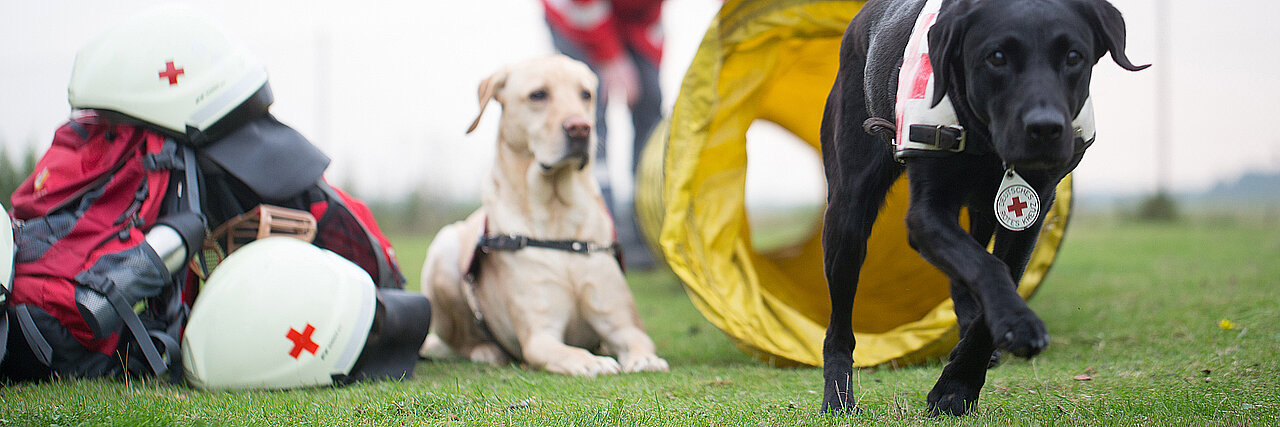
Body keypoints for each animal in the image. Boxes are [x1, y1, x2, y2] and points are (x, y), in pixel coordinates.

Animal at [819, 0, 1152, 416]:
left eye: (1074, 56)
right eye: (996, 57)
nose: (1045, 128)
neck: (988, 143)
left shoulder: (1029, 212)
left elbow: (997, 272)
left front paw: (957, 385)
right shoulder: (926, 212)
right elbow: (986, 265)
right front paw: (1016, 326)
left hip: (980, 212)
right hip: (847, 214)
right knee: (839, 326)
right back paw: (837, 396)